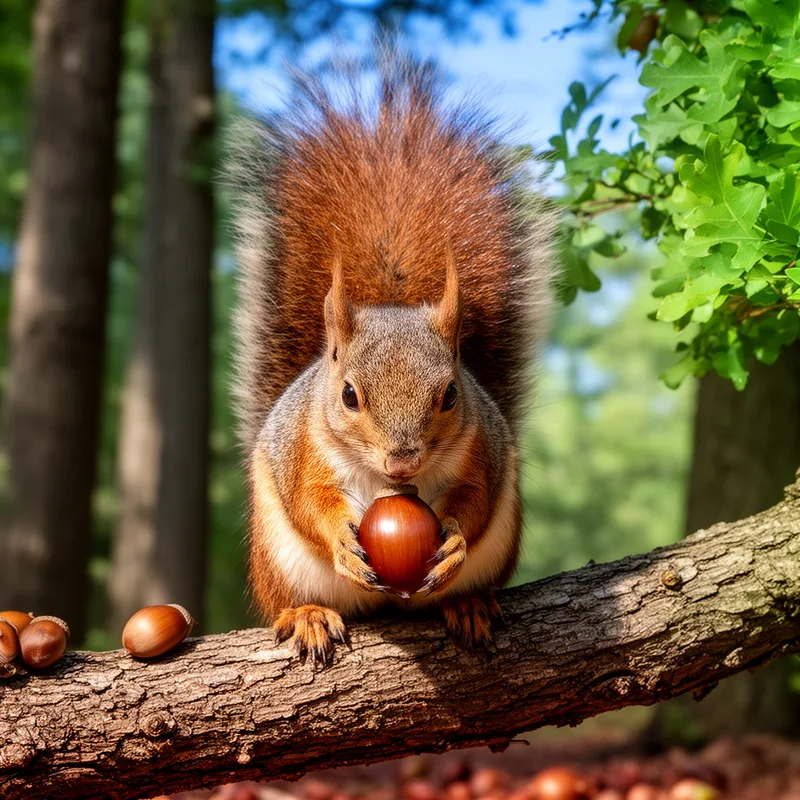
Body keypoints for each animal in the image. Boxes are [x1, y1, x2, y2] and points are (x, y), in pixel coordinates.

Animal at [229, 58, 555, 664]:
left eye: (450, 394)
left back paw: (468, 603)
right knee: (288, 594)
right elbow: (311, 501)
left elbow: (475, 498)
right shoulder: (307, 452)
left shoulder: (480, 449)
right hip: (278, 559)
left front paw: (453, 541)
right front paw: (339, 539)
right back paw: (307, 615)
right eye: (348, 395)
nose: (403, 461)